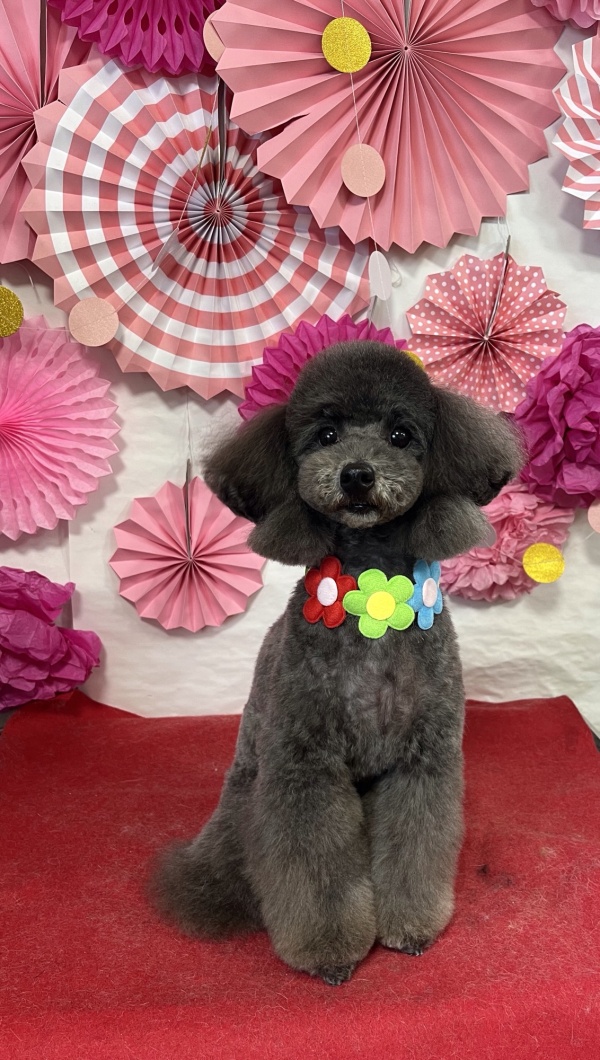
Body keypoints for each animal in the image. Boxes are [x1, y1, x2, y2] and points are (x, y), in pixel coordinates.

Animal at [151, 340, 522, 985]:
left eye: (400, 434)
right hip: (245, 805)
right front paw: (328, 951)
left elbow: (415, 845)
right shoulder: (305, 767)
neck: (371, 596)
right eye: (326, 434)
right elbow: (315, 866)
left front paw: (412, 926)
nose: (357, 473)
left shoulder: (421, 762)